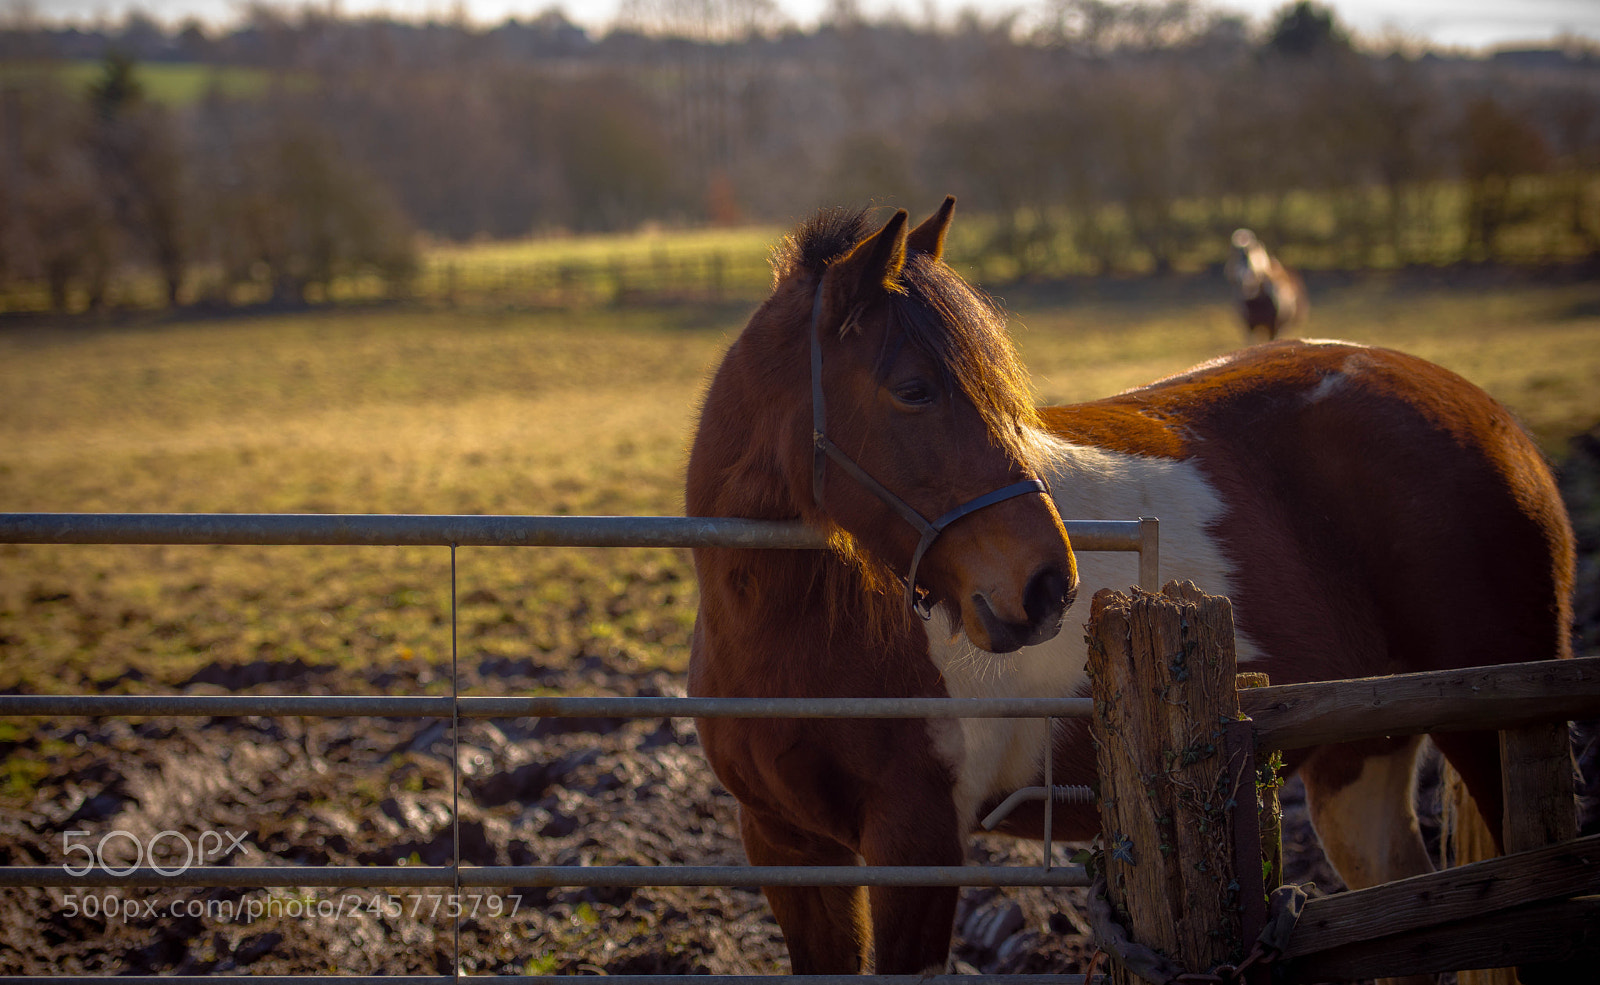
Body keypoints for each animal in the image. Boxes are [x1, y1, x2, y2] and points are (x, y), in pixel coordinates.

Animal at [686, 200, 1575, 975]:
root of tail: (1492, 419)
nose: (1048, 584)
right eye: (912, 389)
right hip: (1362, 760)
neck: (799, 633)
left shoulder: (919, 848)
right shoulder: (790, 848)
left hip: (1492, 734)